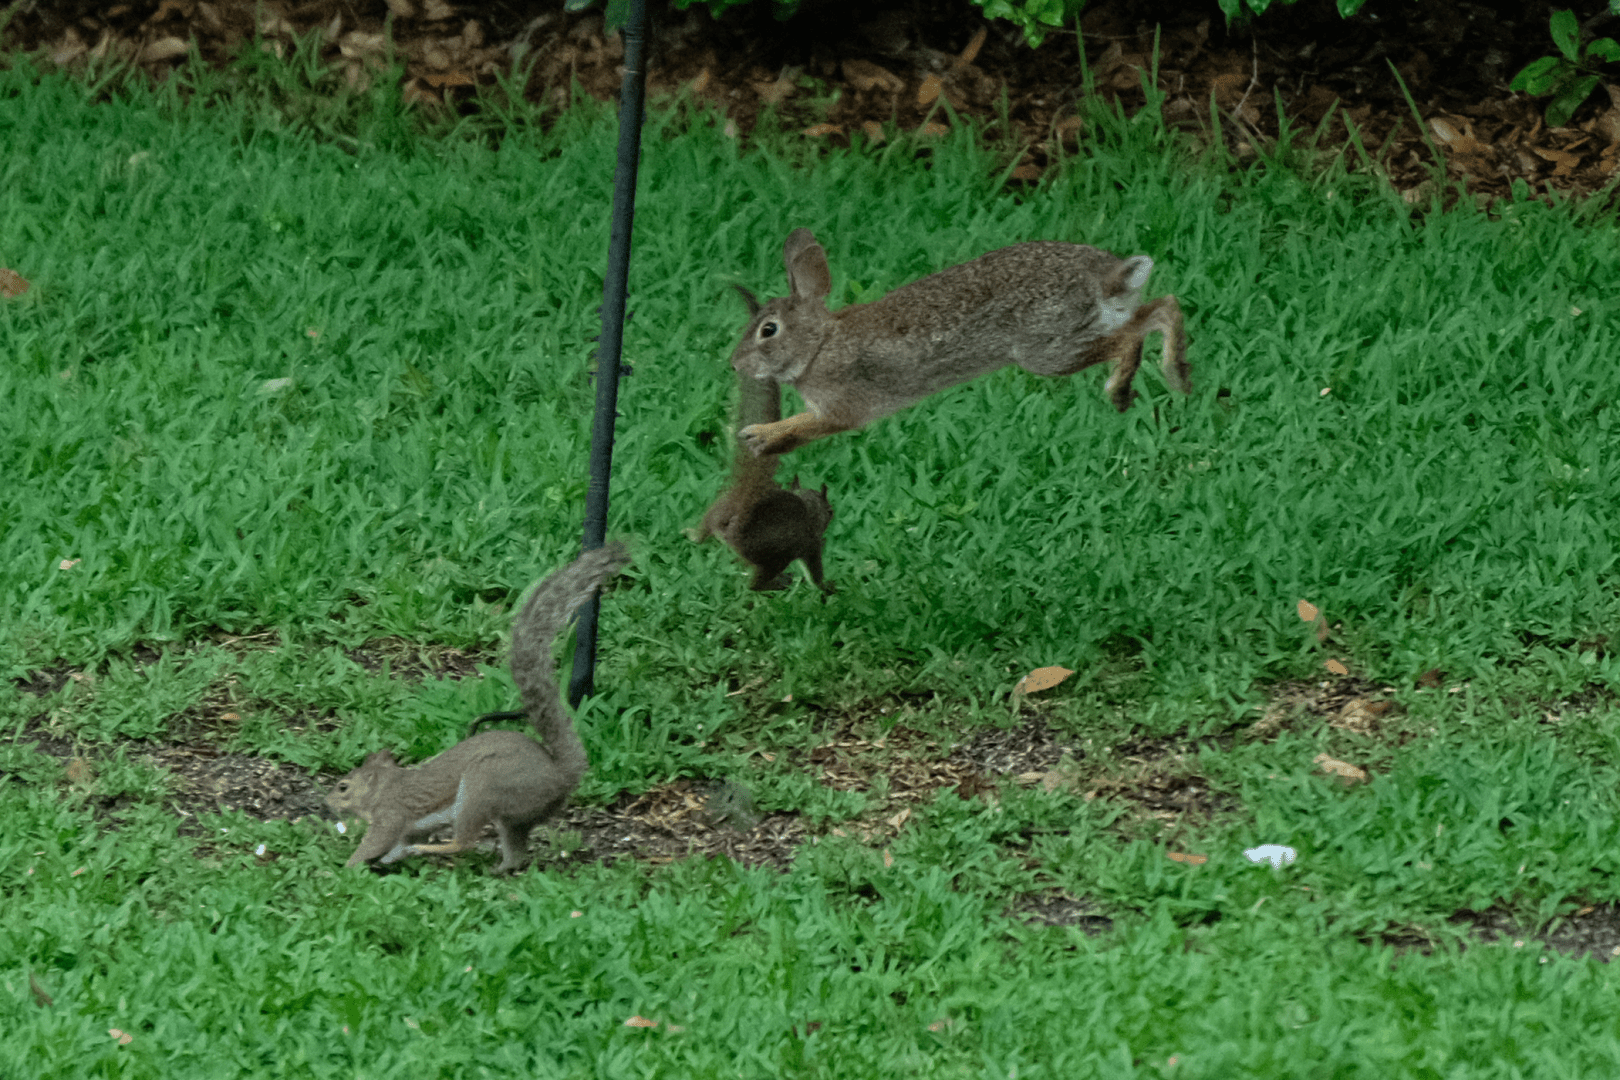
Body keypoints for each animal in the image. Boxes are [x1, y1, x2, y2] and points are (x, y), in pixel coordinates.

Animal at [325, 543, 630, 874]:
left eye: (343, 787)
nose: (327, 803)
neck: (383, 789)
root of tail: (560, 777)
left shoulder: (391, 814)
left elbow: (376, 841)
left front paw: (347, 867)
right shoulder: (409, 826)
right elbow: (396, 844)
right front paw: (386, 859)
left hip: (482, 789)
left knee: (464, 841)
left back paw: (430, 850)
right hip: (512, 817)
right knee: (515, 851)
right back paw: (498, 869)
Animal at [691, 286, 835, 594]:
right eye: (830, 509)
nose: (830, 517)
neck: (809, 510)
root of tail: (734, 524)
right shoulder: (809, 543)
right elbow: (815, 572)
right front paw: (827, 587)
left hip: (718, 512)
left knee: (703, 530)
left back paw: (695, 535)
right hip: (775, 554)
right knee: (756, 584)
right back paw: (778, 583)